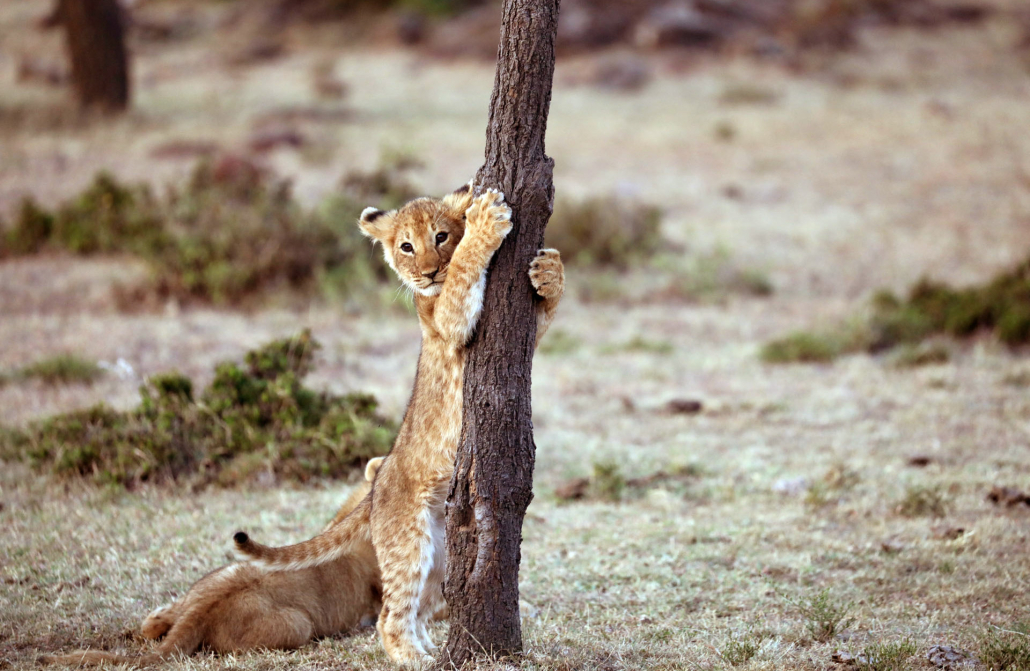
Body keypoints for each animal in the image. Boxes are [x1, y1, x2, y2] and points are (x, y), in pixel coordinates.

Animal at [232, 182, 565, 664]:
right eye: (406, 246)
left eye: (440, 236)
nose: (427, 273)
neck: (428, 297)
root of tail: (376, 486)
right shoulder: (448, 321)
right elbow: (464, 273)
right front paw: (486, 220)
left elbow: (542, 315)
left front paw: (550, 269)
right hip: (409, 540)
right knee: (389, 617)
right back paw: (416, 660)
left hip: (443, 553)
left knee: (424, 608)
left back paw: (430, 651)